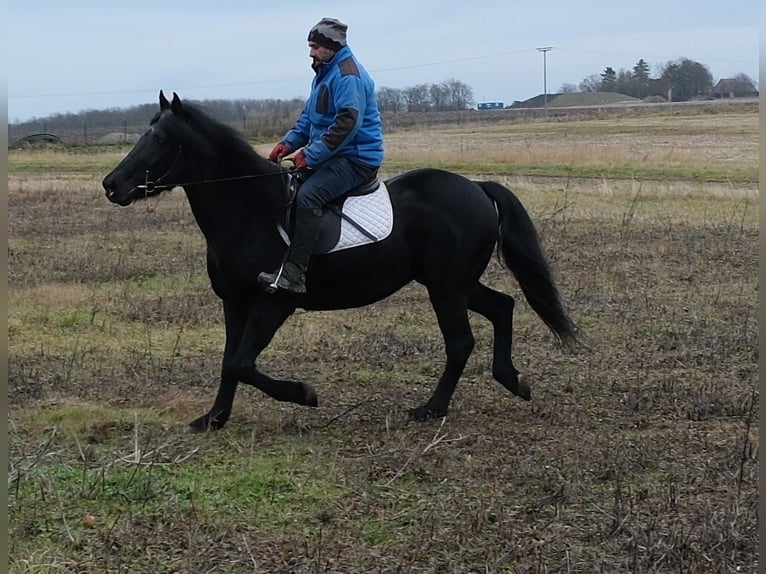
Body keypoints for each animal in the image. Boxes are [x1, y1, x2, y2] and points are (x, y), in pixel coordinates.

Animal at [102, 91, 577, 431]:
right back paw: (513, 380)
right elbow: (229, 361)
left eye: (161, 140)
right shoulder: (234, 302)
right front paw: (213, 419)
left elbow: (241, 362)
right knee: (502, 306)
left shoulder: (274, 302)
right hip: (453, 283)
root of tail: (476, 188)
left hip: (446, 288)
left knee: (461, 341)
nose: (111, 185)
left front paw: (304, 393)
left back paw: (431, 408)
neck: (250, 209)